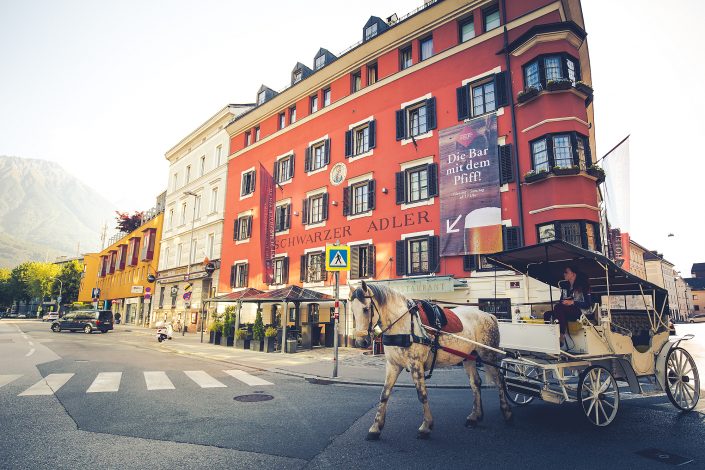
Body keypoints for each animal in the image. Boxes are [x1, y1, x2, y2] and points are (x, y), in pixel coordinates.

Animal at [350, 282, 512, 440]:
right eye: (352, 311)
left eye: (366, 309)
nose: (361, 342)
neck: (402, 323)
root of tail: (489, 315)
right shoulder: (393, 365)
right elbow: (384, 394)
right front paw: (376, 427)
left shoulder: (416, 365)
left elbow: (422, 394)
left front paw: (426, 426)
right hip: (469, 357)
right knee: (475, 383)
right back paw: (474, 416)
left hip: (488, 355)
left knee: (499, 380)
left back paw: (507, 412)